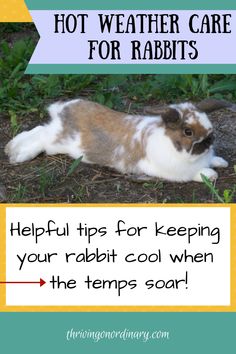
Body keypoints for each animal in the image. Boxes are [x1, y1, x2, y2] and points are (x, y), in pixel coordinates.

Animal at [5, 97, 234, 183]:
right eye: (187, 131)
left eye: (209, 126)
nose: (209, 140)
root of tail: (63, 110)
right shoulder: (172, 171)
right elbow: (197, 174)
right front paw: (211, 174)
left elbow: (214, 161)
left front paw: (220, 162)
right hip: (55, 143)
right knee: (41, 137)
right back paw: (16, 154)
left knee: (39, 130)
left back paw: (11, 150)